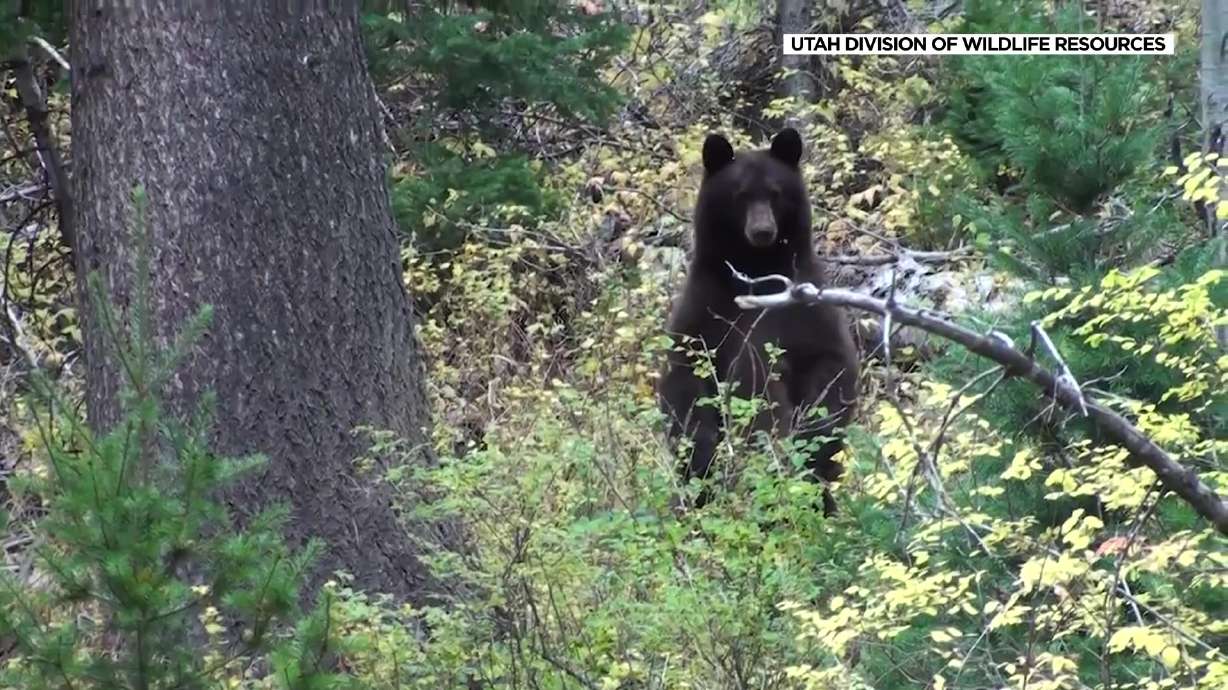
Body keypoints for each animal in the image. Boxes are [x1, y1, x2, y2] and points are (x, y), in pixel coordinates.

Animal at [657, 128, 860, 515]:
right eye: (740, 195)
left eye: (775, 192)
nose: (763, 230)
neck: (755, 269)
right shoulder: (707, 306)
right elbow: (685, 378)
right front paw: (704, 453)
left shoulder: (805, 305)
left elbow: (830, 365)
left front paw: (810, 438)